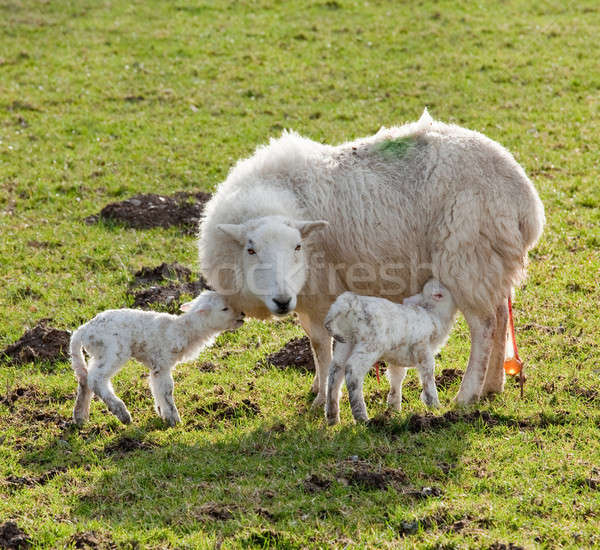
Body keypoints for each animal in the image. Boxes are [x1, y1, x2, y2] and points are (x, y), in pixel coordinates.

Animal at [71, 292, 245, 430]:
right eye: (224, 308)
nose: (243, 315)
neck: (182, 329)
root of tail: (82, 331)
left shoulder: (156, 366)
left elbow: (156, 388)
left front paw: (163, 413)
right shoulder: (162, 363)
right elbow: (167, 389)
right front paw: (174, 419)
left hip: (99, 354)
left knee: (84, 378)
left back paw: (80, 417)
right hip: (112, 350)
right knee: (96, 379)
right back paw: (122, 413)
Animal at [199, 109, 548, 410]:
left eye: (298, 247)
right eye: (251, 249)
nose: (282, 301)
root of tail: (525, 199)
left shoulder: (323, 290)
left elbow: (323, 347)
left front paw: (323, 397)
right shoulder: (307, 297)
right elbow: (314, 342)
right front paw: (317, 387)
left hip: (467, 257)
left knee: (484, 326)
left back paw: (467, 393)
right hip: (492, 261)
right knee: (501, 315)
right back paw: (493, 386)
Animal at [326, 280, 458, 426]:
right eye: (439, 294)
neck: (433, 315)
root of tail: (348, 303)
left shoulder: (398, 357)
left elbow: (397, 376)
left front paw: (394, 408)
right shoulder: (422, 347)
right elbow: (428, 375)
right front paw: (434, 405)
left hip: (345, 343)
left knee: (335, 371)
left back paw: (332, 416)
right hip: (370, 344)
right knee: (352, 370)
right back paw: (361, 416)